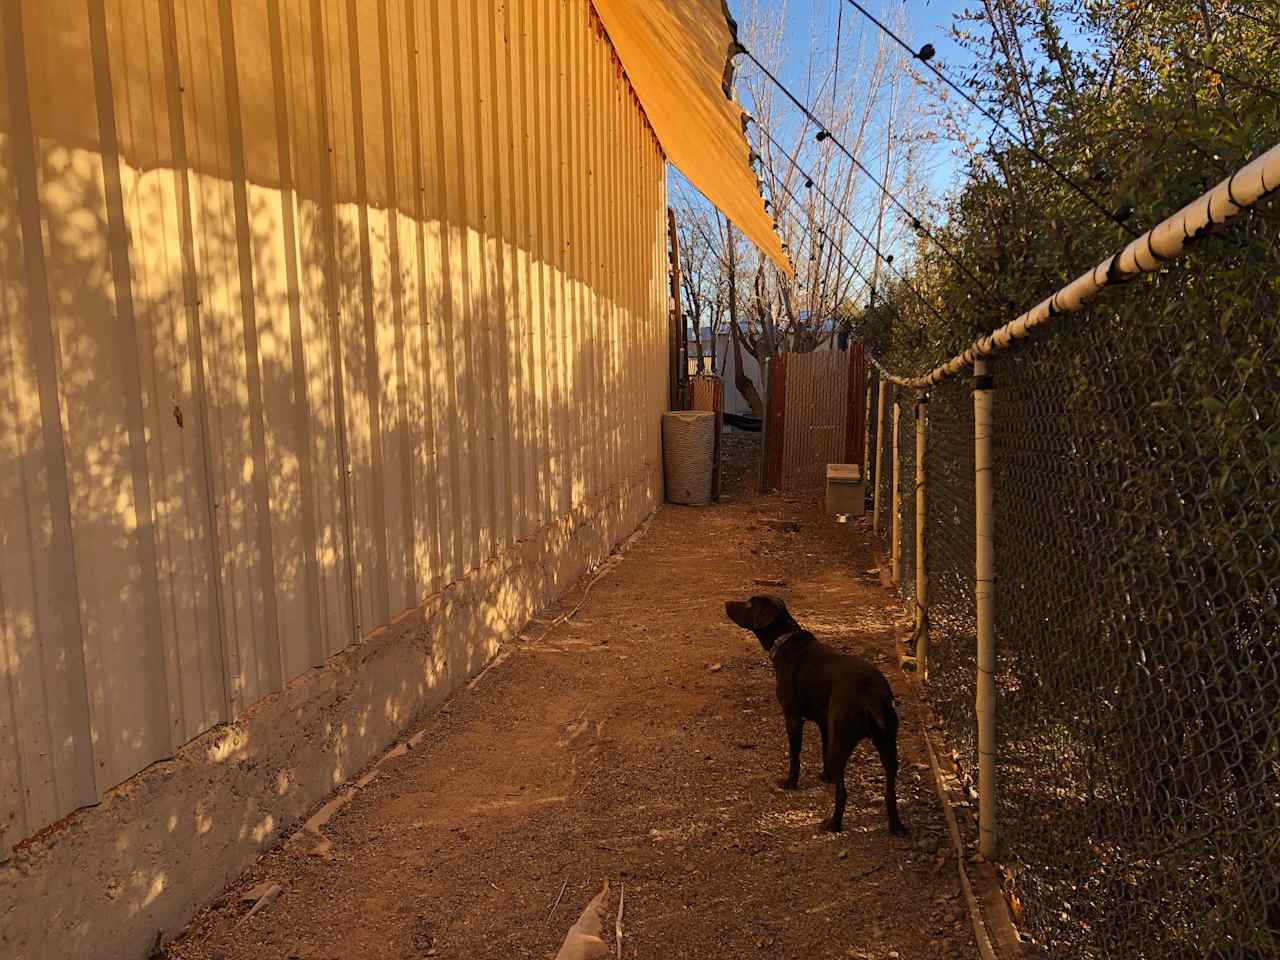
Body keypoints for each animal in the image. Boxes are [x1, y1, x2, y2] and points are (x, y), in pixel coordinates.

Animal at [727, 593, 906, 834]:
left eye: (749, 604)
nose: (726, 603)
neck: (784, 640)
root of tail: (870, 691)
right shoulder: (824, 722)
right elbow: (822, 750)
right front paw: (825, 777)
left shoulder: (792, 718)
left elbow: (795, 756)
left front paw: (790, 783)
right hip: (887, 746)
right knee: (890, 792)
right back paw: (896, 826)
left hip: (842, 744)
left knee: (843, 793)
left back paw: (833, 824)